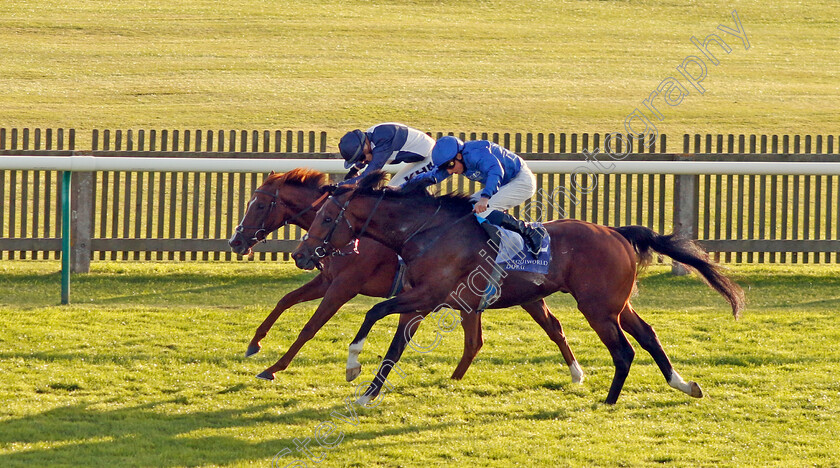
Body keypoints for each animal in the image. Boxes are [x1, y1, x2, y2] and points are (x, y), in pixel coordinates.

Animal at [230, 168, 584, 384]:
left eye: (257, 205)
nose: (236, 241)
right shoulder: (327, 280)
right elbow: (285, 300)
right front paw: (254, 343)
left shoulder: (344, 286)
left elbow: (310, 327)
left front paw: (273, 368)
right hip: (518, 298)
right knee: (539, 329)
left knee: (548, 329)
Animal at [292, 170, 744, 404]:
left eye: (327, 218)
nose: (301, 254)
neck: (428, 232)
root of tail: (616, 231)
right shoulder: (419, 301)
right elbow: (394, 346)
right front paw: (367, 392)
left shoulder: (427, 295)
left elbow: (373, 313)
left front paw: (353, 368)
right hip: (615, 303)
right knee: (648, 336)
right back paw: (683, 384)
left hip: (597, 308)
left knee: (624, 350)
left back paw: (610, 400)